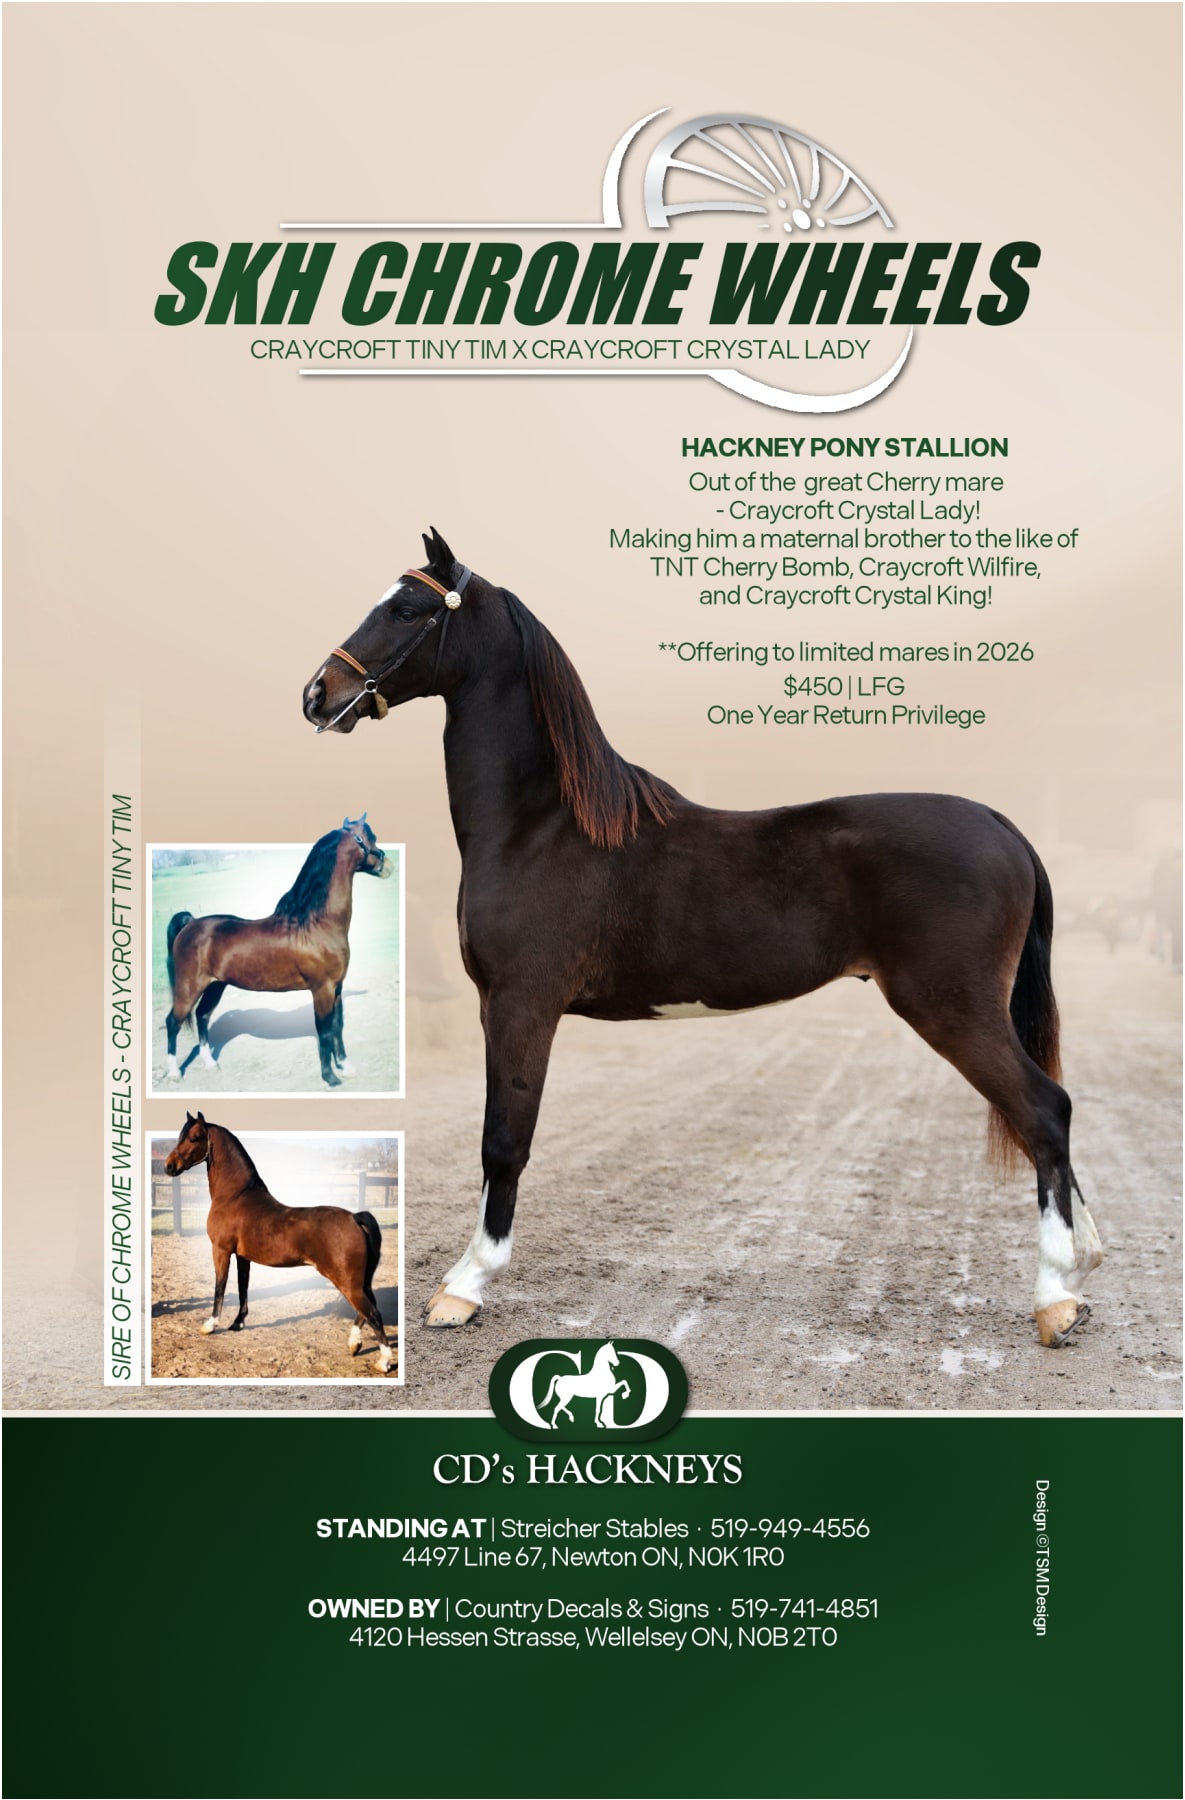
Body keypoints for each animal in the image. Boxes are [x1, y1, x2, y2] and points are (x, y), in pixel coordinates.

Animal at [162, 1112, 396, 1372]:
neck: (235, 1196)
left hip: (349, 1283)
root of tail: (355, 1217)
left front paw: (210, 1324)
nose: (168, 1166)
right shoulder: (243, 1256)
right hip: (359, 1283)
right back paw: (354, 1345)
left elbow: (219, 1286)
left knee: (373, 1313)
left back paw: (383, 1361)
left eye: (193, 1138)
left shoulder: (221, 1250)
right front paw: (238, 1323)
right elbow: (243, 1287)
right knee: (366, 1310)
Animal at [163, 817, 392, 1088]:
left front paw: (346, 1067)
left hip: (215, 985)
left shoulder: (336, 988)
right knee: (173, 1021)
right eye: (370, 838)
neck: (315, 924)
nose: (388, 865)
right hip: (189, 988)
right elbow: (324, 1030)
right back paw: (174, 1072)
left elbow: (338, 1026)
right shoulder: (322, 989)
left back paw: (210, 1064)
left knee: (202, 1016)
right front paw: (330, 1077)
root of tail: (190, 923)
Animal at [302, 528, 1103, 1351]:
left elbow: (503, 1141)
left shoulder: (519, 1005)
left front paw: (463, 1287)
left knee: (1044, 1112)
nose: (318, 696)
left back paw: (1054, 1297)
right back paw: (1082, 1268)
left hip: (952, 1008)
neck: (541, 825)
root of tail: (1002, 826)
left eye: (406, 609)